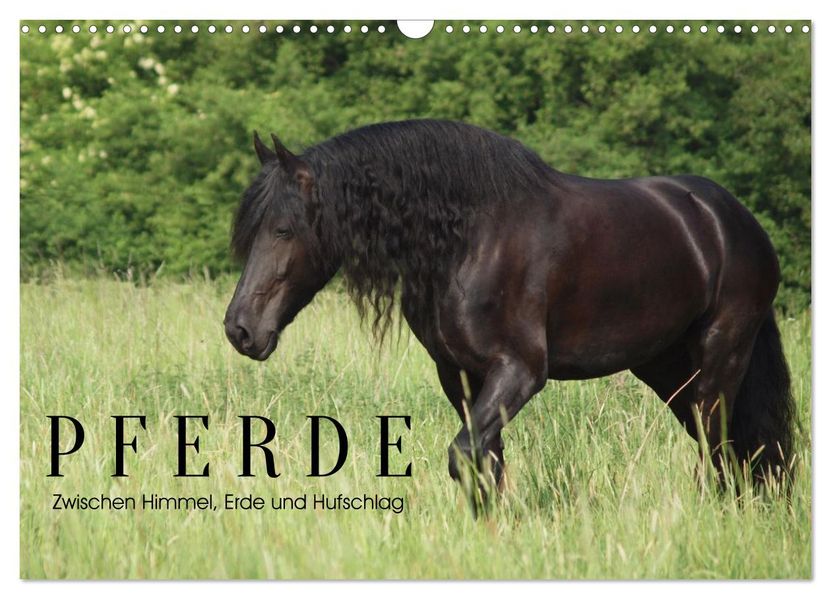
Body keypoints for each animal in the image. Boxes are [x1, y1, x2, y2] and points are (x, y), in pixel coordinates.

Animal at [224, 119, 794, 507]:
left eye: (283, 230)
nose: (240, 329)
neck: (469, 240)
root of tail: (732, 220)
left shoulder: (520, 371)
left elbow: (464, 456)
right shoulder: (462, 376)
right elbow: (485, 463)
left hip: (720, 360)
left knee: (721, 447)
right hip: (668, 368)